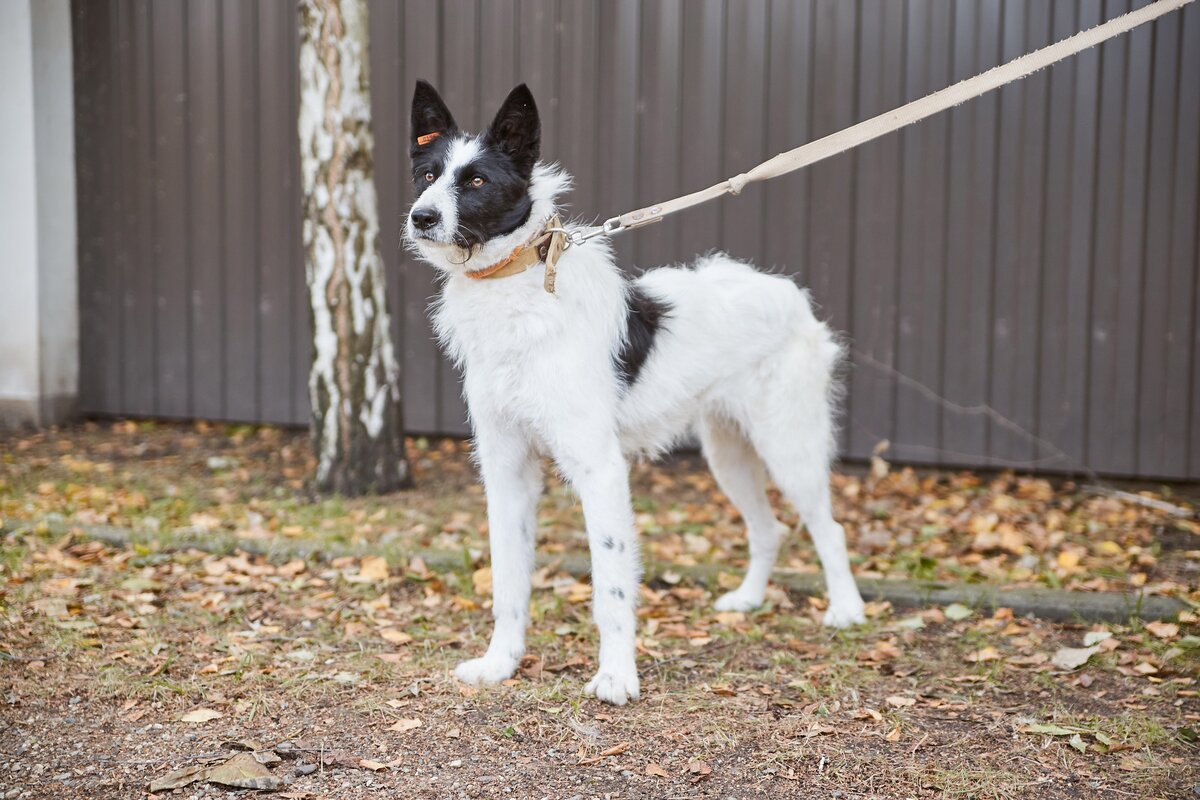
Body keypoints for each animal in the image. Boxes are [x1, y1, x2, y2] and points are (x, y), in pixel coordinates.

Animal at [403, 82, 864, 705]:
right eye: (427, 174)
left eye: (475, 181)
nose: (421, 217)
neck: (518, 292)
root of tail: (787, 291)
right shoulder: (506, 468)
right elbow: (508, 580)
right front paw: (501, 663)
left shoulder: (599, 468)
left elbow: (612, 587)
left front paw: (617, 676)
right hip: (728, 454)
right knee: (767, 529)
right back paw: (748, 600)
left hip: (788, 446)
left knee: (827, 527)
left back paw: (846, 609)